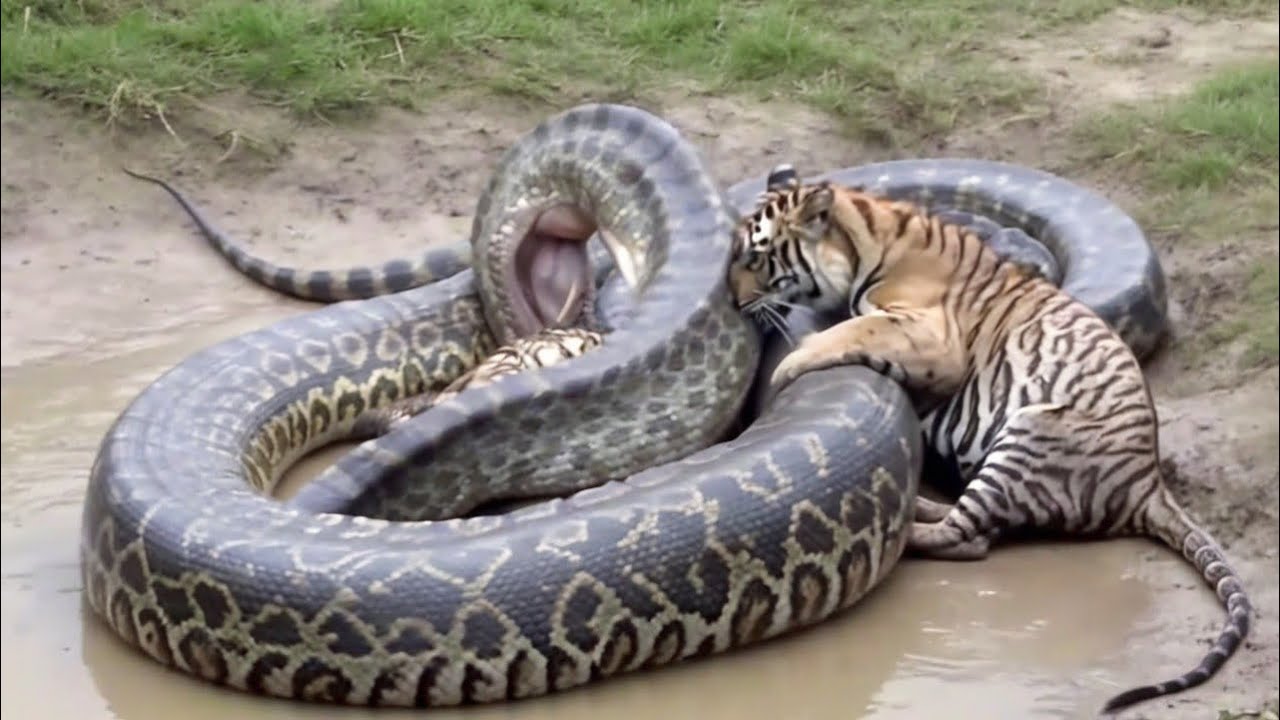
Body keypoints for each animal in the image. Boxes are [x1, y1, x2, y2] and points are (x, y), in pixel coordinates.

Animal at [728, 173, 1252, 714]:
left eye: (757, 257)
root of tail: (1150, 482)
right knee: (972, 524)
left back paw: (901, 532)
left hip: (1029, 432)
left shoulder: (930, 333)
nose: (733, 301)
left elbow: (856, 327)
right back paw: (917, 506)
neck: (865, 235)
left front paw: (791, 364)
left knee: (967, 536)